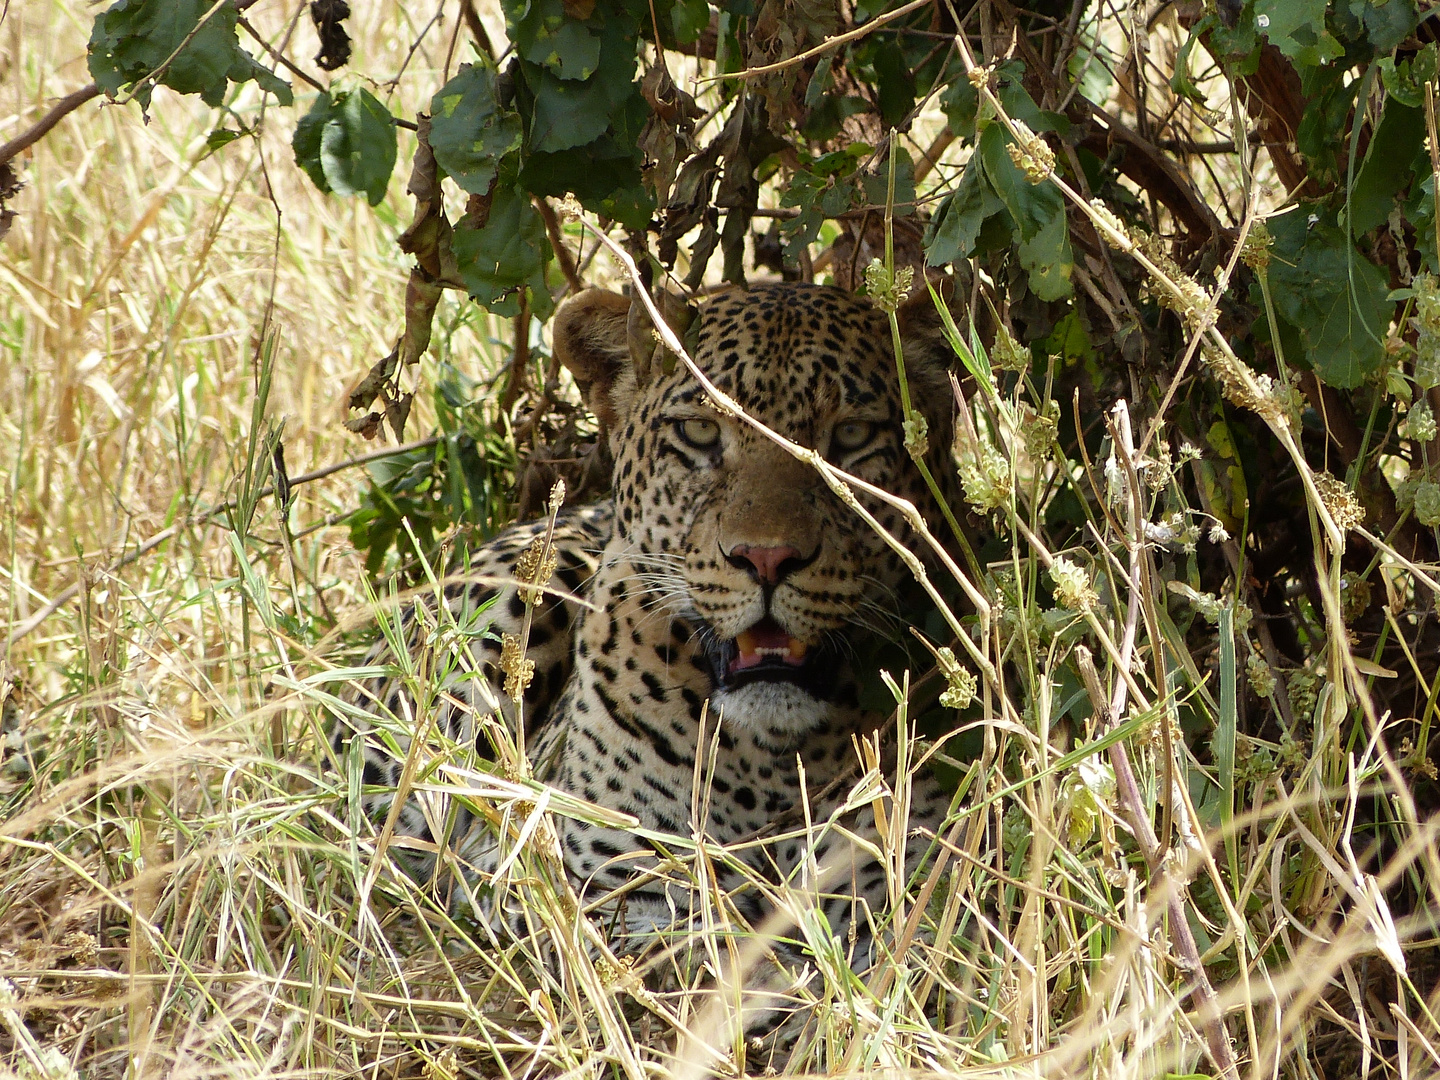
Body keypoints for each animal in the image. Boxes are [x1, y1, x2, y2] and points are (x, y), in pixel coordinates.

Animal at [331, 279, 973, 990]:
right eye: (699, 431)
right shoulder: (606, 887)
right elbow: (707, 966)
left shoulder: (912, 875)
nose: (767, 558)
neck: (770, 760)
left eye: (852, 436)